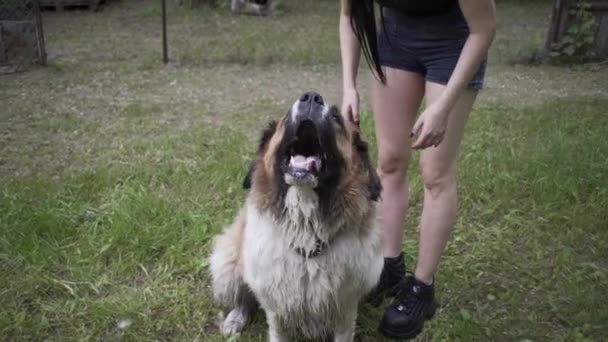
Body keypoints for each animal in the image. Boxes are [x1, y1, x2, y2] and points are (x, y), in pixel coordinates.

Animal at [207, 91, 382, 342]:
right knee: (242, 296)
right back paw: (235, 319)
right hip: (228, 265)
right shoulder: (275, 306)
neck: (306, 229)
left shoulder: (346, 308)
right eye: (284, 117)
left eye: (336, 117)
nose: (312, 97)